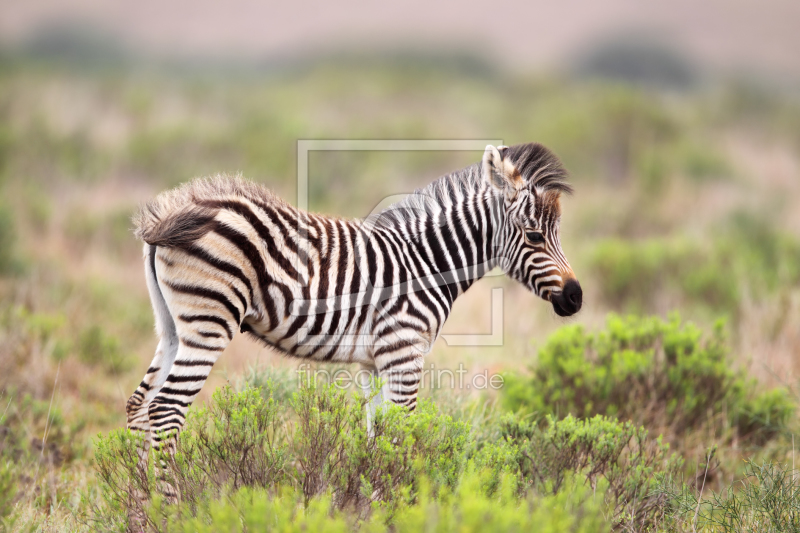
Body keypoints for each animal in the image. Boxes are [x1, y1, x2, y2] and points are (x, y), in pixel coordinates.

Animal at [128, 140, 584, 474]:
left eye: (556, 233)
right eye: (534, 236)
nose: (576, 298)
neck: (426, 261)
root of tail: (171, 213)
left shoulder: (373, 362)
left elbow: (376, 436)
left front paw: (373, 501)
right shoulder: (404, 352)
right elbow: (400, 436)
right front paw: (402, 504)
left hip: (171, 327)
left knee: (139, 406)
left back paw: (140, 507)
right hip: (210, 323)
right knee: (166, 411)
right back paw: (172, 508)